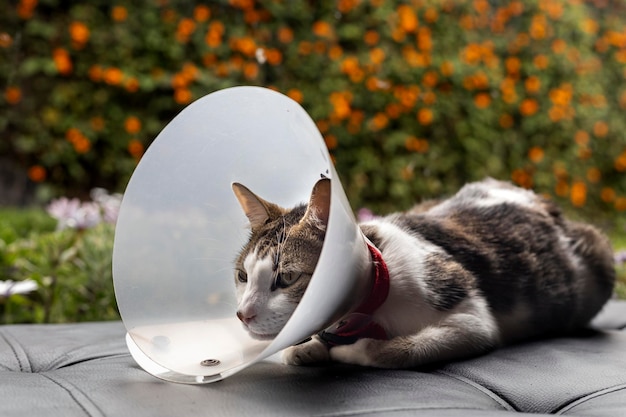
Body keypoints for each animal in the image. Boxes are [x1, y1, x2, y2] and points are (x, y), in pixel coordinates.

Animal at [230, 177, 616, 366]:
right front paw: (307, 347)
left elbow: (398, 349)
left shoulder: (473, 320)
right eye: (243, 276)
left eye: (287, 278)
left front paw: (351, 352)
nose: (242, 315)